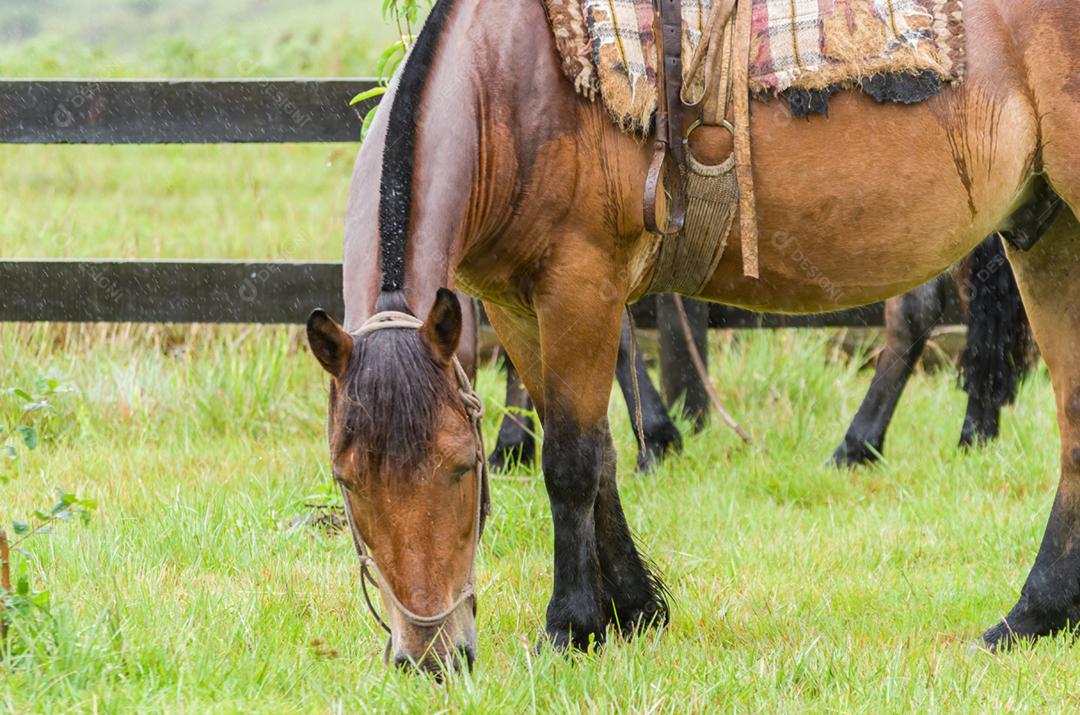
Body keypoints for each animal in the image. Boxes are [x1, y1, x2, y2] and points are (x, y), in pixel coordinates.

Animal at [306, 0, 1080, 672]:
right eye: (347, 480)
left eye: (464, 467)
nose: (430, 656)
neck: (510, 84)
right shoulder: (516, 306)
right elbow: (597, 448)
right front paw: (633, 608)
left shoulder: (580, 284)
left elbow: (571, 461)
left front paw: (571, 626)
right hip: (1046, 230)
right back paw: (1033, 615)